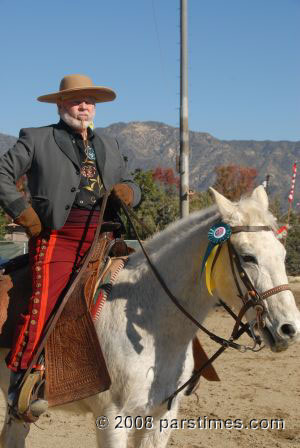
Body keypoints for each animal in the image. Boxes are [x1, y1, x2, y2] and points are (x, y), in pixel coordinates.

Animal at [0, 185, 300, 444]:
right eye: (248, 257)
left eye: (282, 253)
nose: (289, 329)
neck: (156, 329)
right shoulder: (112, 418)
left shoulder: (161, 416)